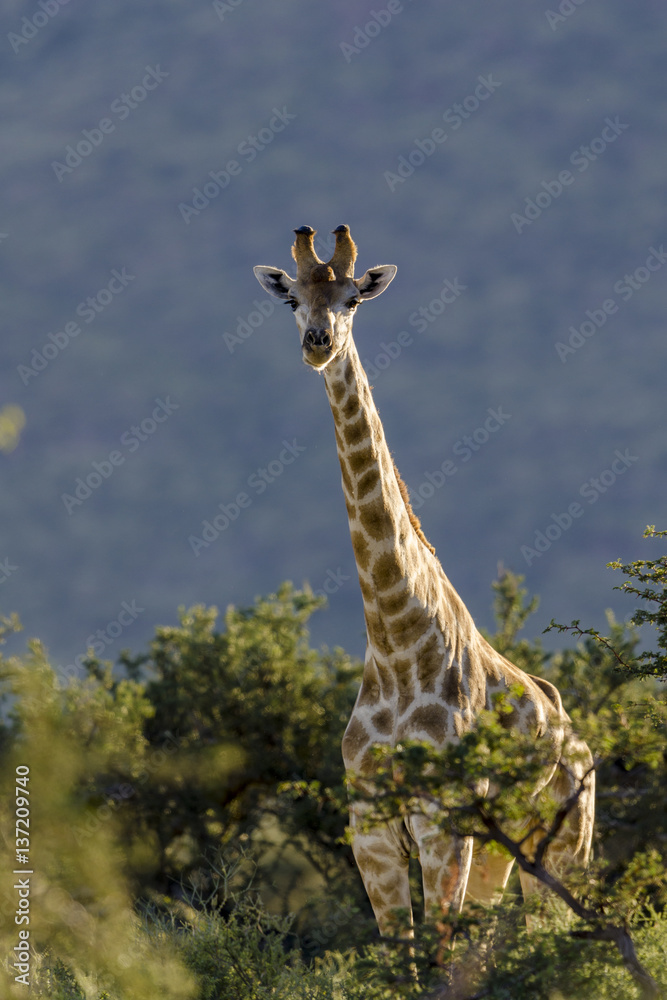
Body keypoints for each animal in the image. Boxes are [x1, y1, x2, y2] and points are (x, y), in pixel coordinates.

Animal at [254, 225, 596, 936]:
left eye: (353, 299)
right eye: (292, 298)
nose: (318, 344)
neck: (394, 640)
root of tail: (578, 737)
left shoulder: (443, 824)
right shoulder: (371, 830)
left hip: (561, 839)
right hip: (500, 849)